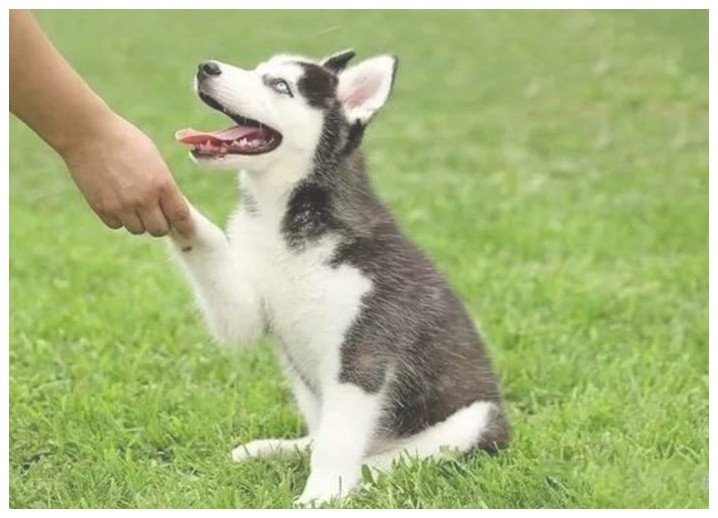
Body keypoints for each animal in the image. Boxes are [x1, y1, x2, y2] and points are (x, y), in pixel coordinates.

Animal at [169, 50, 510, 506]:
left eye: (280, 85)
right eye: (259, 70)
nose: (206, 67)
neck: (285, 221)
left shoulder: (363, 351)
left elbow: (338, 440)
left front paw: (321, 495)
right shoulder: (247, 312)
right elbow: (217, 263)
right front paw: (169, 203)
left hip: (476, 419)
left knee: (393, 454)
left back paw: (363, 472)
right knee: (320, 436)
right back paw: (278, 449)